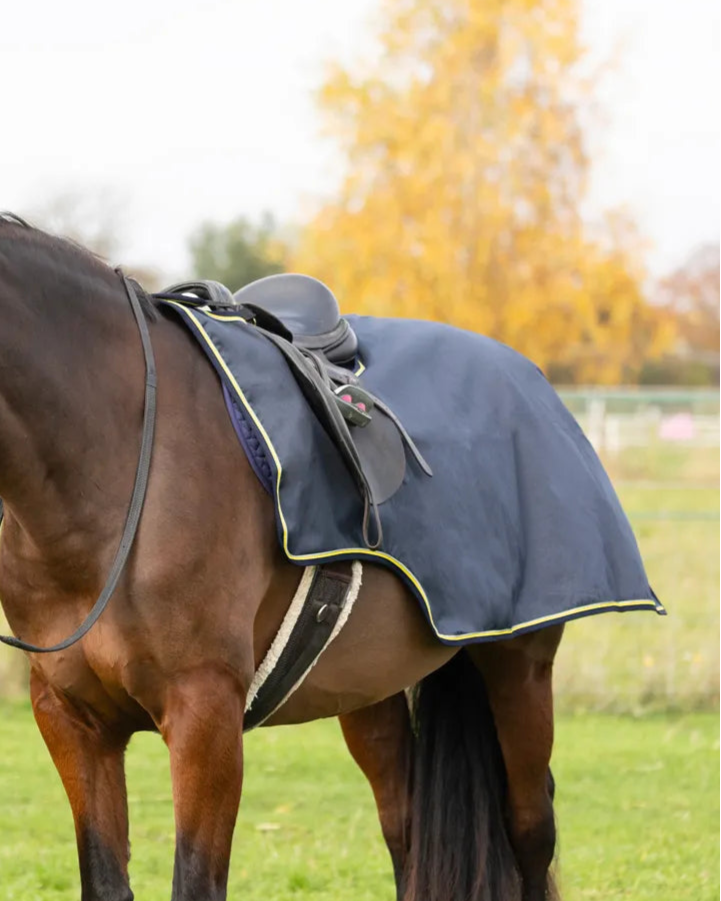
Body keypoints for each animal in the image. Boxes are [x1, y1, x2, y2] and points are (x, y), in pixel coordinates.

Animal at [0, 215, 567, 901]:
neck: (116, 459)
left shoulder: (205, 715)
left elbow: (195, 881)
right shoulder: (71, 719)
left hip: (520, 664)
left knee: (530, 829)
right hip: (368, 686)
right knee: (404, 829)